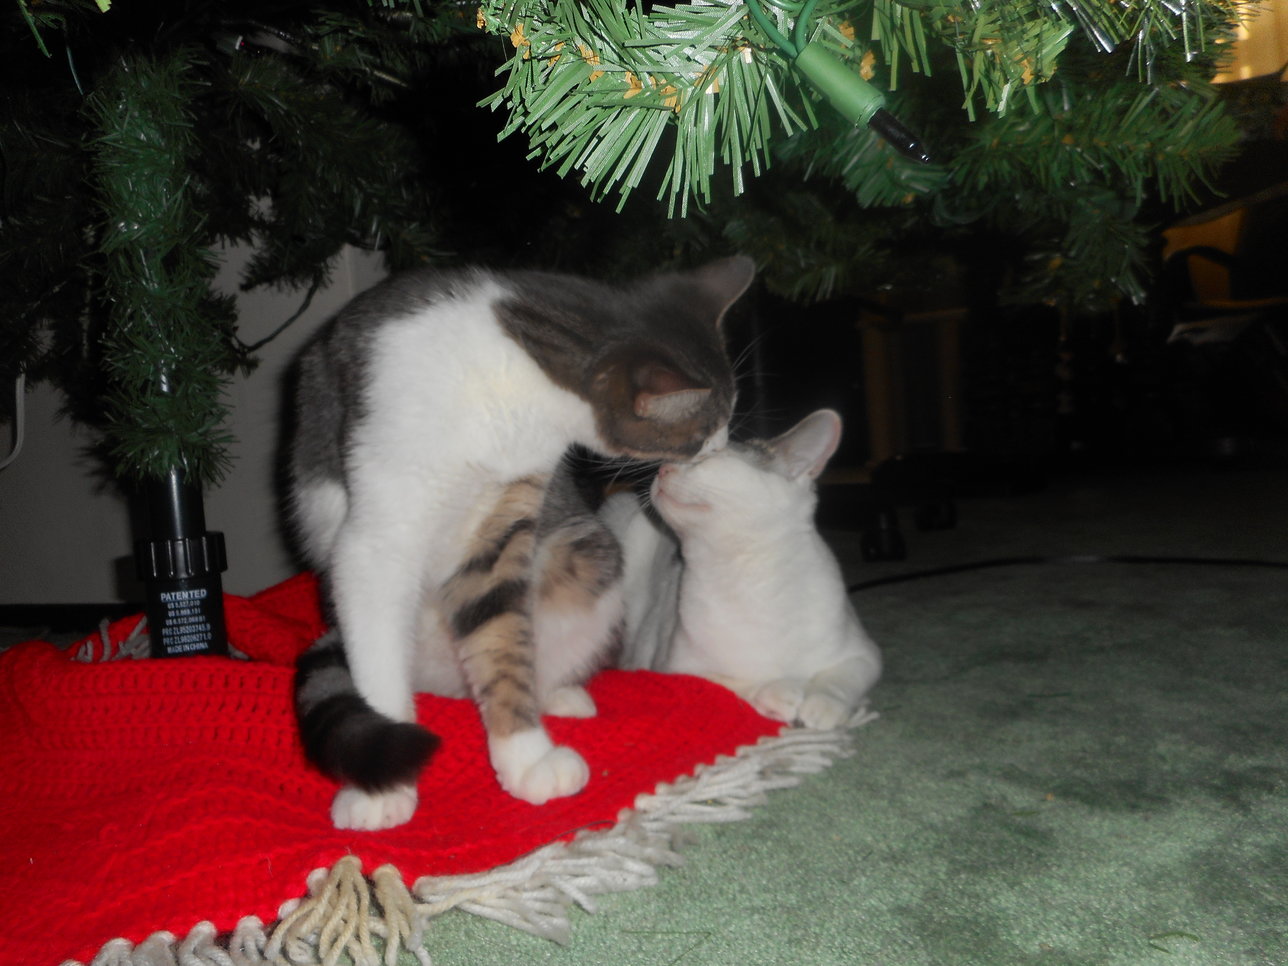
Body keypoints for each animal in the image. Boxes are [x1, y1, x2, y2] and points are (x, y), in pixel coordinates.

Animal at [285, 258, 752, 834]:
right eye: (705, 430)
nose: (721, 446)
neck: (511, 380)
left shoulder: (503, 519)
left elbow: (502, 640)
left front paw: (526, 758)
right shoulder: (377, 537)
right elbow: (375, 650)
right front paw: (381, 788)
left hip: (584, 555)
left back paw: (561, 693)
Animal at [600, 409, 880, 731]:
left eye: (712, 454)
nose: (662, 469)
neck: (750, 578)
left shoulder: (865, 654)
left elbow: (844, 676)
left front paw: (824, 704)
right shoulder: (675, 668)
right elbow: (729, 682)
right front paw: (777, 689)